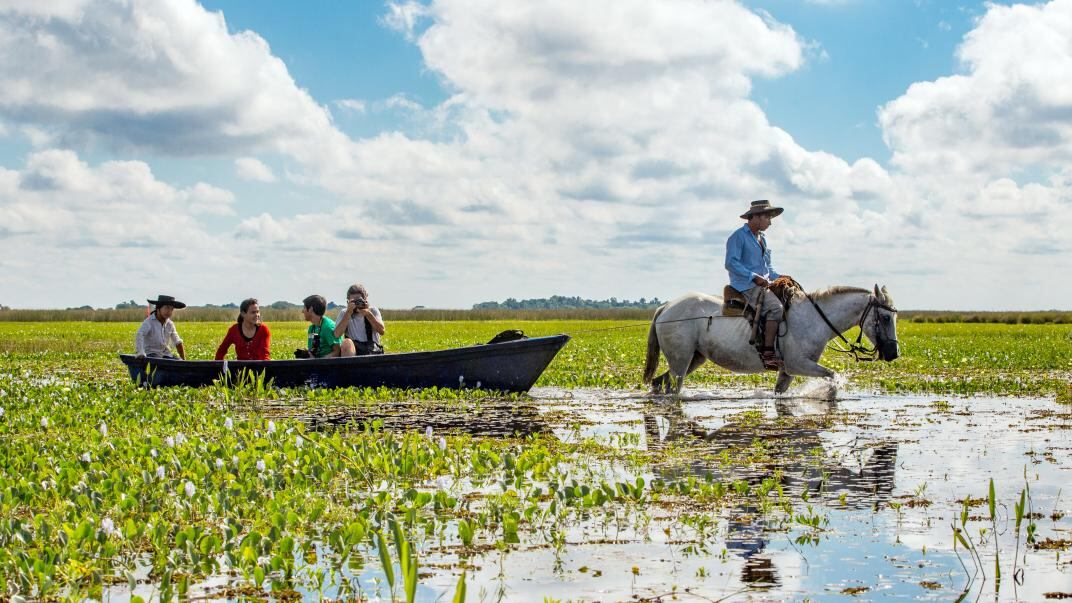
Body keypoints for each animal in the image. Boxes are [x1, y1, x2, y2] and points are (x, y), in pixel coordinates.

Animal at [643, 283, 896, 392]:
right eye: (884, 317)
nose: (894, 354)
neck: (814, 319)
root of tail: (666, 307)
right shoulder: (798, 365)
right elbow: (832, 377)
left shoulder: (787, 371)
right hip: (681, 362)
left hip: (694, 359)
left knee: (659, 383)